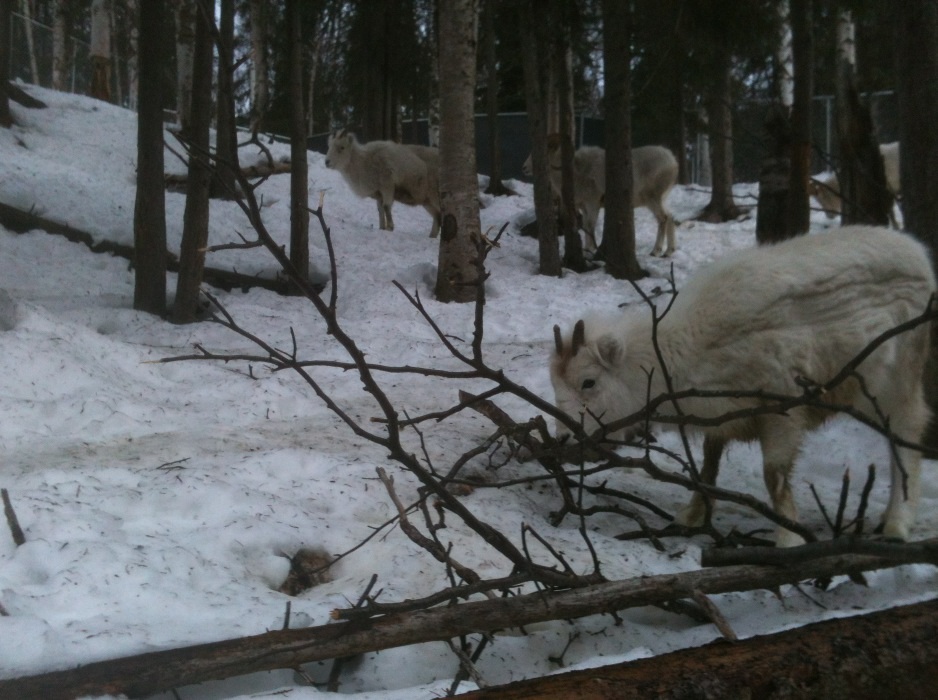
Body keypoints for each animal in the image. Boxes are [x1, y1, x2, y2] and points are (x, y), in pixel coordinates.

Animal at [522, 136, 679, 257]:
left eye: (546, 149)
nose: (524, 168)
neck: (577, 172)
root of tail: (673, 162)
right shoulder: (585, 207)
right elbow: (586, 225)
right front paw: (587, 249)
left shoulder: (593, 204)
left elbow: (590, 225)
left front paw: (590, 250)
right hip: (661, 199)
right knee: (671, 216)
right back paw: (668, 252)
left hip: (653, 199)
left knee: (663, 218)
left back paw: (655, 251)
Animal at [550, 226, 934, 546]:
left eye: (588, 382)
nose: (563, 438)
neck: (688, 348)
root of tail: (922, 260)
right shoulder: (720, 417)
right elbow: (708, 467)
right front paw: (690, 518)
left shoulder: (783, 410)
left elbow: (774, 477)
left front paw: (789, 540)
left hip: (898, 379)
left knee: (907, 433)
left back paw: (897, 524)